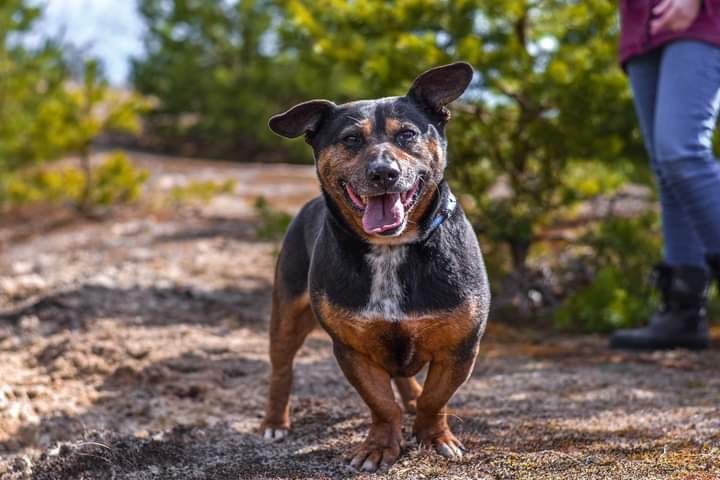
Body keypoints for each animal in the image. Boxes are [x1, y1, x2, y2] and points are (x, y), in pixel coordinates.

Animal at [258, 62, 490, 470]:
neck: (391, 248)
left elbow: (435, 399)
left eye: (408, 134)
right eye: (351, 139)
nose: (384, 172)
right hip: (286, 313)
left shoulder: (460, 347)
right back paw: (275, 422)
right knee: (281, 369)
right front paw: (380, 446)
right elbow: (381, 404)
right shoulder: (353, 350)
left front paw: (434, 437)